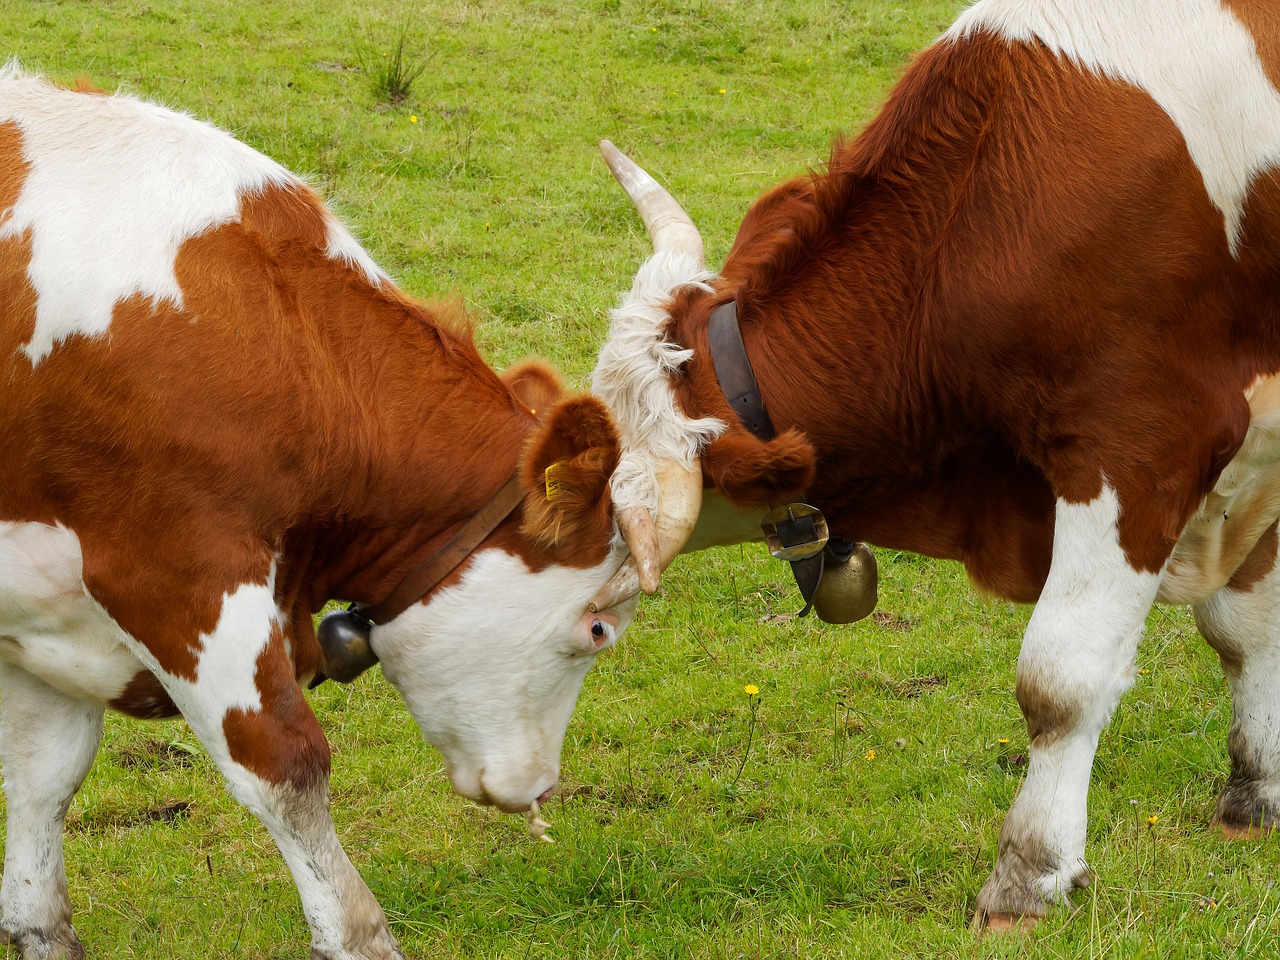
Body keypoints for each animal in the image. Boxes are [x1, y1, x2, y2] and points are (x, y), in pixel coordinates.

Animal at [0, 64, 640, 957]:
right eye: (598, 628)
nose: (539, 787)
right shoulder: (181, 580)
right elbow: (288, 768)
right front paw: (358, 933)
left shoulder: (42, 599)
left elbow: (42, 787)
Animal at [586, 0, 1280, 931]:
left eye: (616, 483)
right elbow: (1245, 628)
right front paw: (1257, 794)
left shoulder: (1143, 441)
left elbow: (1061, 677)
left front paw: (1029, 875)